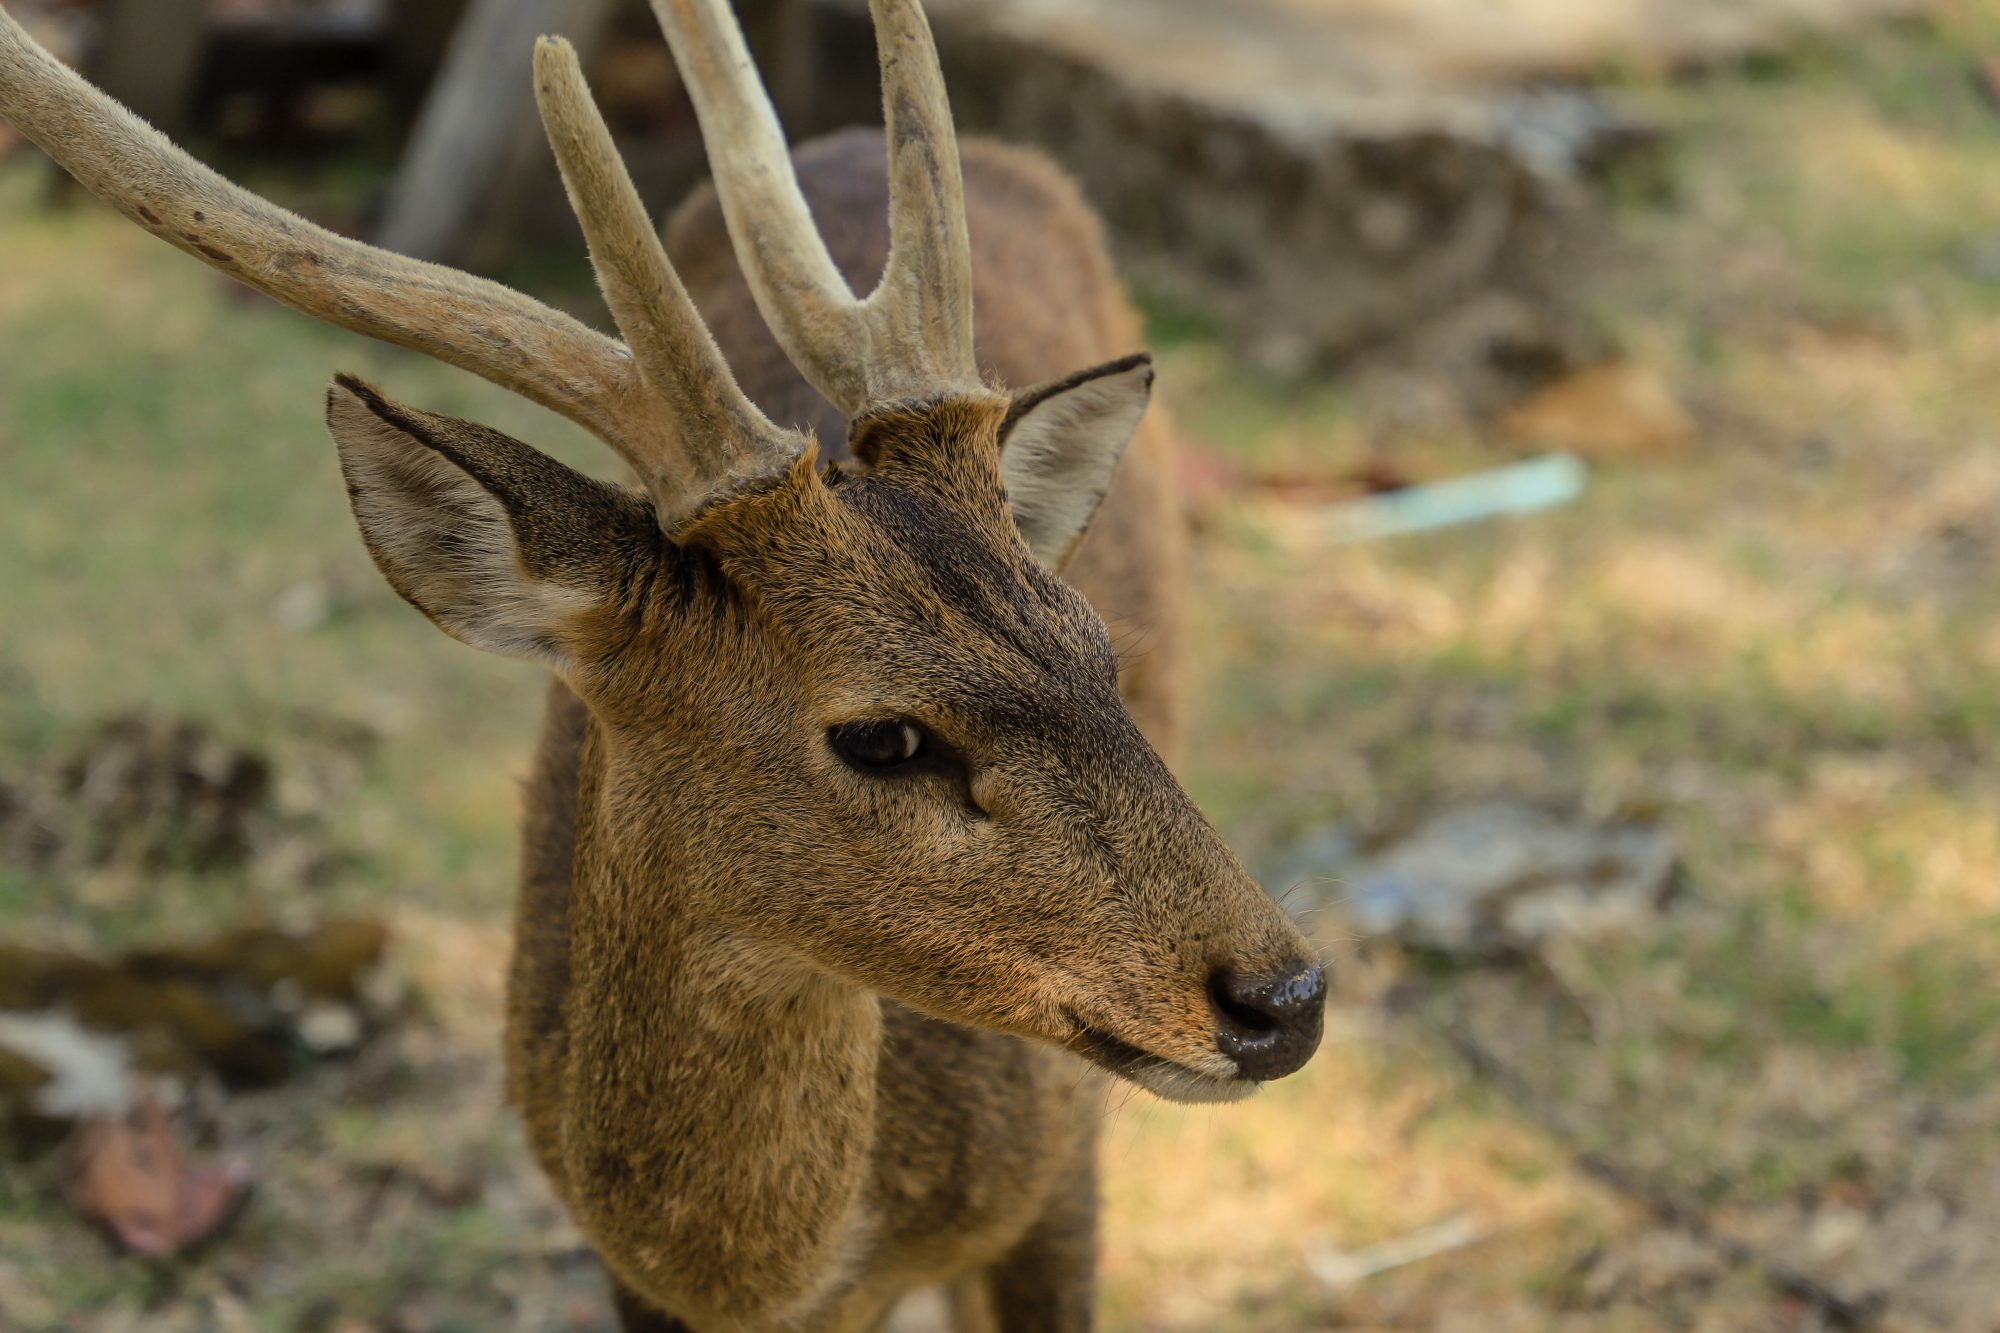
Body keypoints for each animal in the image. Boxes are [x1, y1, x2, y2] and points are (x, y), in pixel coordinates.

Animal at [0, 0, 1328, 1320]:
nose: (1283, 999)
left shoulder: (1057, 1172)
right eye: (881, 735)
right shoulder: (621, 1263)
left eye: (1098, 651)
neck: (778, 1278)